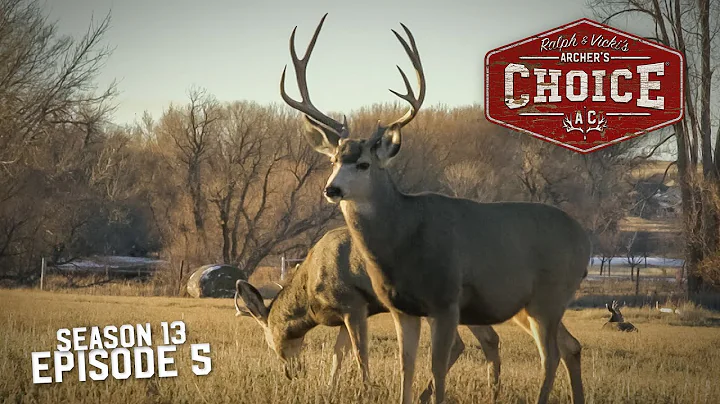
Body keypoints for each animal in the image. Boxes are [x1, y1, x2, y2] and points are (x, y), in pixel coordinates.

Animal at [235, 227, 502, 402]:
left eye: (270, 343)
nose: (291, 373)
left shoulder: (354, 304)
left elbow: (360, 352)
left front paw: (367, 391)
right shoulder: (343, 313)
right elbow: (338, 353)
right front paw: (330, 388)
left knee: (458, 343)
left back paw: (427, 395)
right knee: (488, 338)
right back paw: (493, 392)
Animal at [279, 14, 590, 404]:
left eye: (364, 164)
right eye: (333, 160)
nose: (331, 189)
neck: (404, 238)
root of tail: (584, 239)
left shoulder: (445, 300)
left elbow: (437, 369)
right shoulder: (402, 308)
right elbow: (406, 368)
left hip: (549, 295)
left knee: (550, 356)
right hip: (532, 304)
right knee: (571, 347)